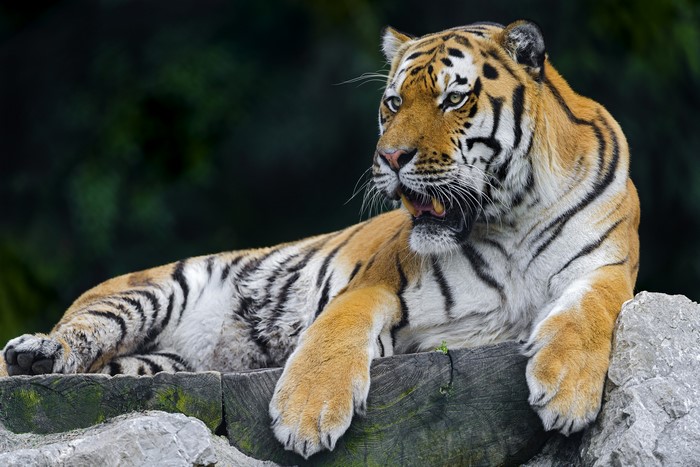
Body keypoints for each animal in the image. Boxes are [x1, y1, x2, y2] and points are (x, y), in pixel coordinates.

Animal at [2, 20, 639, 459]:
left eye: (454, 98)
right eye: (393, 102)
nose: (390, 157)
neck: (510, 216)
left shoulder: (608, 270)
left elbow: (590, 315)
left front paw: (567, 394)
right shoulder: (379, 283)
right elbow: (334, 335)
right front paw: (306, 418)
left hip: (154, 365)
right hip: (152, 290)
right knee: (76, 336)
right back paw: (35, 353)